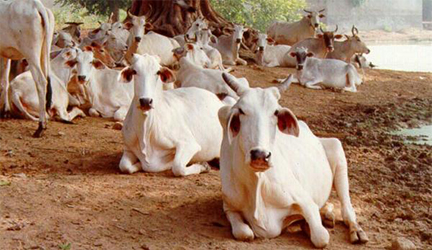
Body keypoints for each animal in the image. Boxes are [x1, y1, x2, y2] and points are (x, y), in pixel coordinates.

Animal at [0, 0, 55, 137]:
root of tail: (37, 5)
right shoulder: (5, 54)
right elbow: (4, 81)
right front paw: (5, 111)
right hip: (44, 53)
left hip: (31, 54)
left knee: (41, 81)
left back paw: (40, 126)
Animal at [218, 73, 370, 247]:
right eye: (242, 111)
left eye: (276, 112)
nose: (260, 155)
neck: (257, 181)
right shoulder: (229, 206)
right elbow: (243, 233)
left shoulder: (306, 202)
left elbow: (321, 237)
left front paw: (309, 226)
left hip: (337, 149)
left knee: (347, 209)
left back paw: (356, 231)